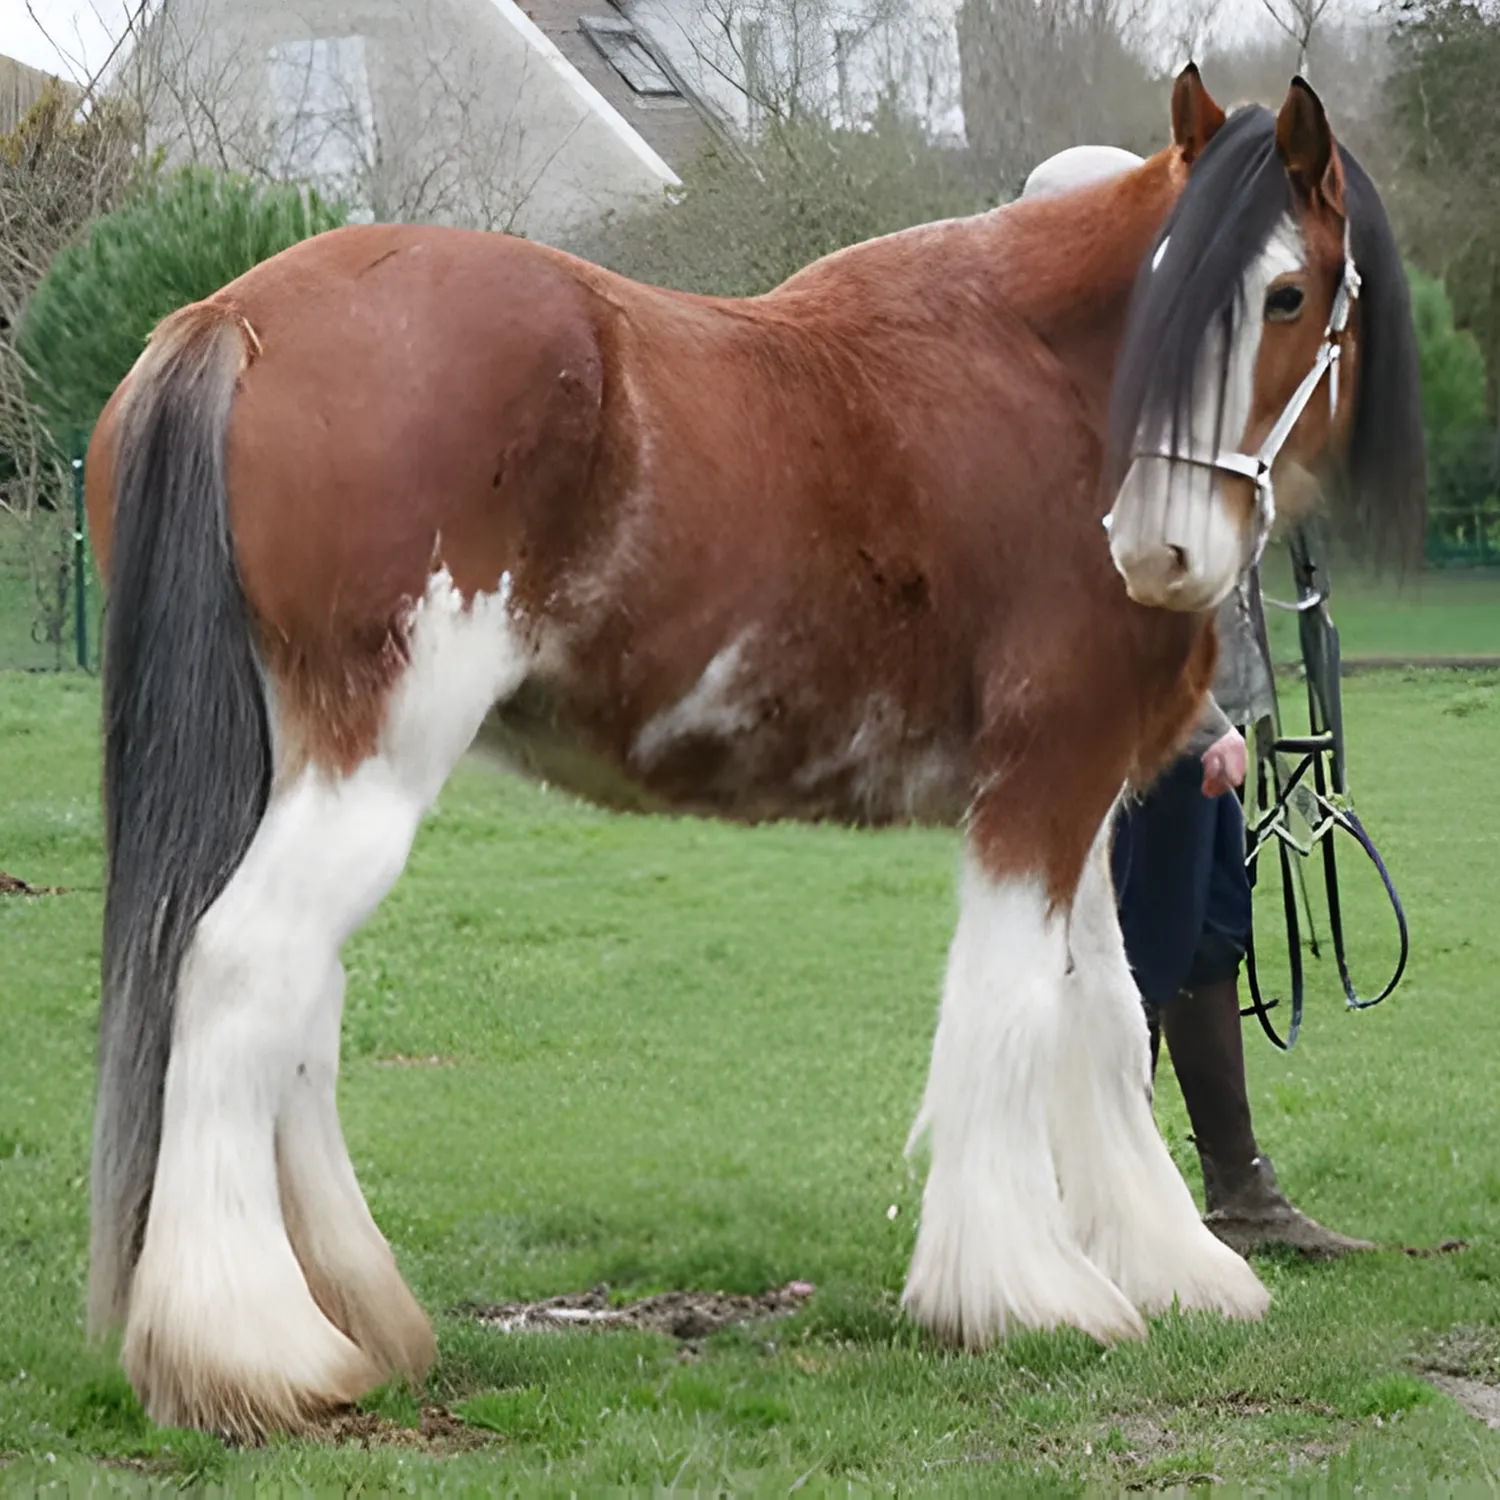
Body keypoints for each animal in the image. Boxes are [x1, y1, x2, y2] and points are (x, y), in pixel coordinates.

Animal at [82, 66, 1423, 1438]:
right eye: (1169, 297)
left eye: (1284, 294)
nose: (1160, 552)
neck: (1043, 381)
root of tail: (231, 319)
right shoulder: (1041, 785)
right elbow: (1008, 1012)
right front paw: (1021, 1292)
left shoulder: (1087, 798)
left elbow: (1099, 1009)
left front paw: (1168, 1264)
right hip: (373, 761)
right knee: (243, 968)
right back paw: (251, 1348)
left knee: (299, 999)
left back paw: (356, 1313)